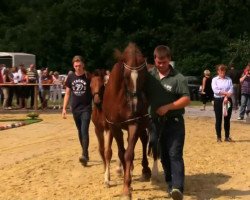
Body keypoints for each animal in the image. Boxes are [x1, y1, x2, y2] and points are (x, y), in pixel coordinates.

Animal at [102, 42, 151, 198]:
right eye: (126, 76)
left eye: (144, 75)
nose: (135, 104)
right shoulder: (115, 126)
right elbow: (121, 153)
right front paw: (127, 184)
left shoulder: (134, 123)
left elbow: (129, 154)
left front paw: (126, 188)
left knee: (144, 140)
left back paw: (146, 170)